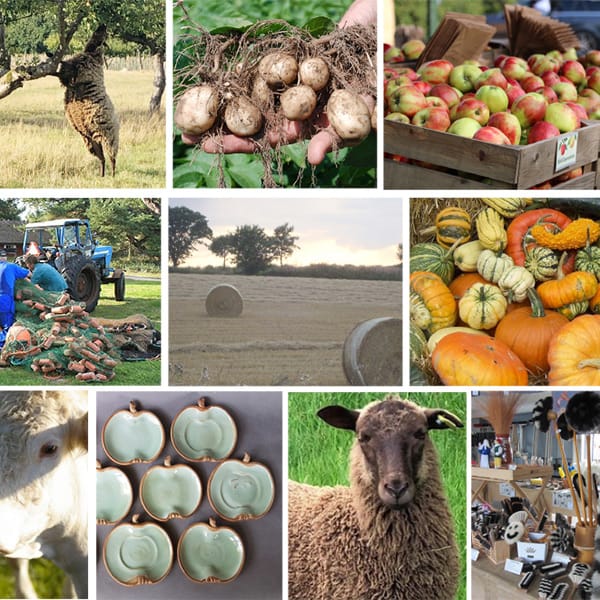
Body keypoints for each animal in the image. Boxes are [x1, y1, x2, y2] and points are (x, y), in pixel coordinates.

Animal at [54, 25, 119, 176]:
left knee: (112, 158)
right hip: (91, 141)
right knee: (102, 159)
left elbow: (64, 71)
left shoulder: (78, 69)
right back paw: (102, 175)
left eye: (103, 34)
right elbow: (61, 72)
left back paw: (113, 175)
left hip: (109, 139)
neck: (92, 53)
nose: (103, 25)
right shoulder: (72, 71)